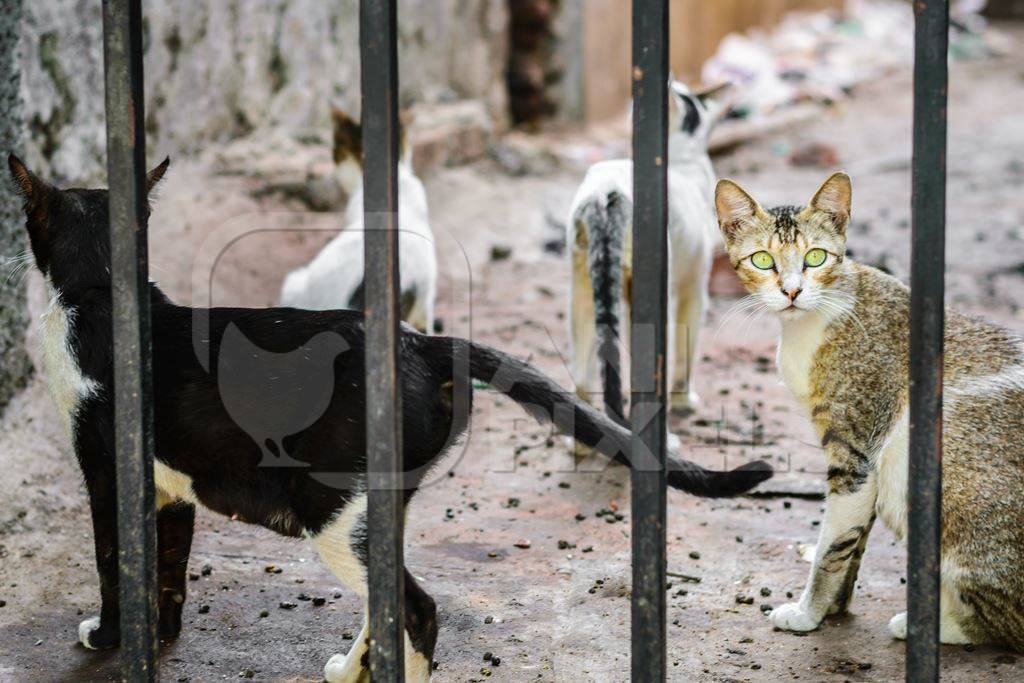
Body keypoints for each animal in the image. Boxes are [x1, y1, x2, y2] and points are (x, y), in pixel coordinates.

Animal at [8, 156, 770, 683]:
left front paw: (107, 637)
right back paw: (352, 670)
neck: (100, 291)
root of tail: (420, 339)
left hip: (331, 508)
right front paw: (161, 637)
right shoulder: (174, 487)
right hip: (373, 507)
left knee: (417, 608)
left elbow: (114, 560)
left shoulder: (107, 470)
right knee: (391, 601)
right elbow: (166, 567)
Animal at [569, 80, 729, 432]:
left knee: (582, 376)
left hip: (582, 285)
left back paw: (581, 440)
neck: (679, 160)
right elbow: (685, 348)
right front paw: (684, 400)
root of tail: (606, 192)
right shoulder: (695, 286)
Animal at [716, 171, 1024, 651]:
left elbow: (832, 546)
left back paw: (931, 625)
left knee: (1007, 621)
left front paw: (808, 613)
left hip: (908, 460)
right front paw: (835, 607)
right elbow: (853, 541)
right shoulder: (865, 464)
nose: (791, 291)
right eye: (763, 260)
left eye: (816, 257)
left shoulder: (856, 451)